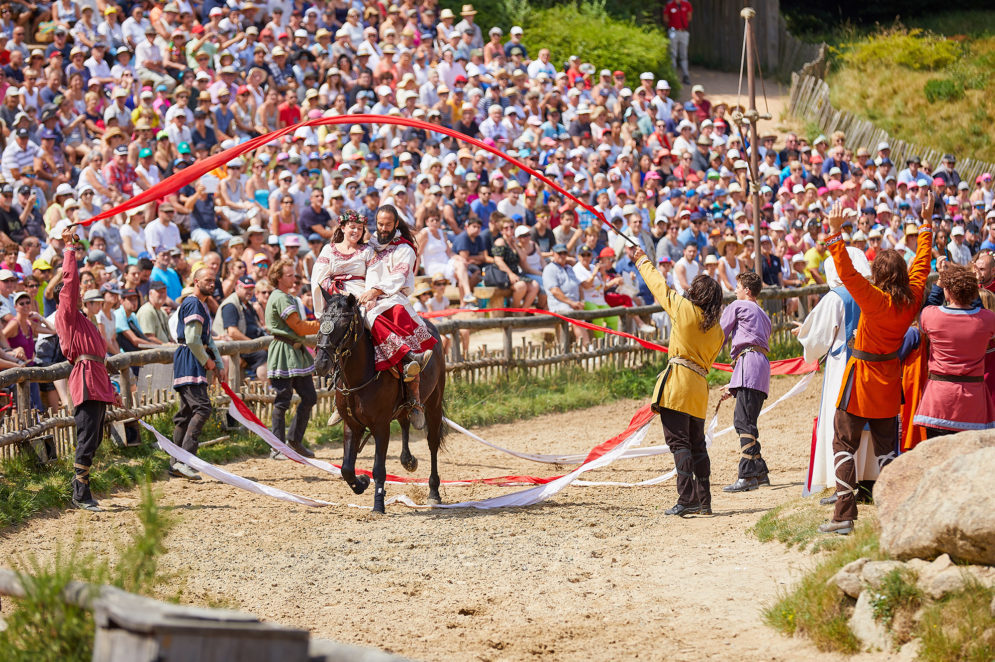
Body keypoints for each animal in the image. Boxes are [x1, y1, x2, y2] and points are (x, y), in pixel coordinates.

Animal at [316, 294, 448, 516]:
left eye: (344, 324)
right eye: (320, 321)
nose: (321, 363)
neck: (360, 377)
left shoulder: (380, 425)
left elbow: (379, 468)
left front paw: (378, 504)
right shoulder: (352, 424)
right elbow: (346, 468)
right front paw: (361, 483)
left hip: (434, 403)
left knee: (432, 442)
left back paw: (434, 492)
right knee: (405, 421)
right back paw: (408, 460)